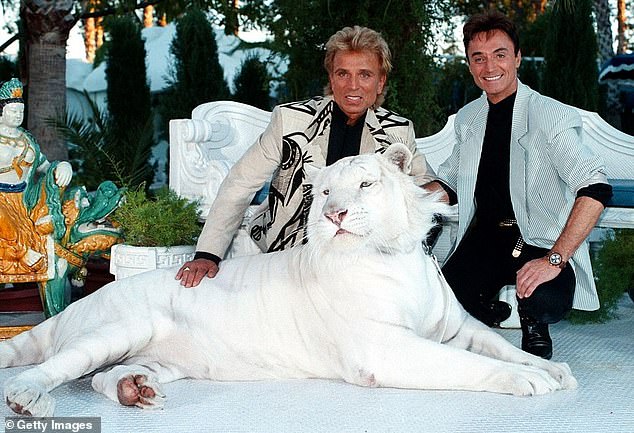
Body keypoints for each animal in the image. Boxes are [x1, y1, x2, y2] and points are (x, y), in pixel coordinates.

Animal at [0, 144, 576, 416]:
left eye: (365, 184)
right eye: (324, 193)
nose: (335, 214)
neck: (393, 256)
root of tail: (80, 303)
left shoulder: (459, 328)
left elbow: (501, 347)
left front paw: (556, 370)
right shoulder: (386, 347)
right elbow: (471, 364)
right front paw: (531, 382)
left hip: (157, 358)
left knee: (103, 377)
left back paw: (134, 391)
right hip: (116, 330)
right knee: (49, 369)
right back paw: (29, 401)